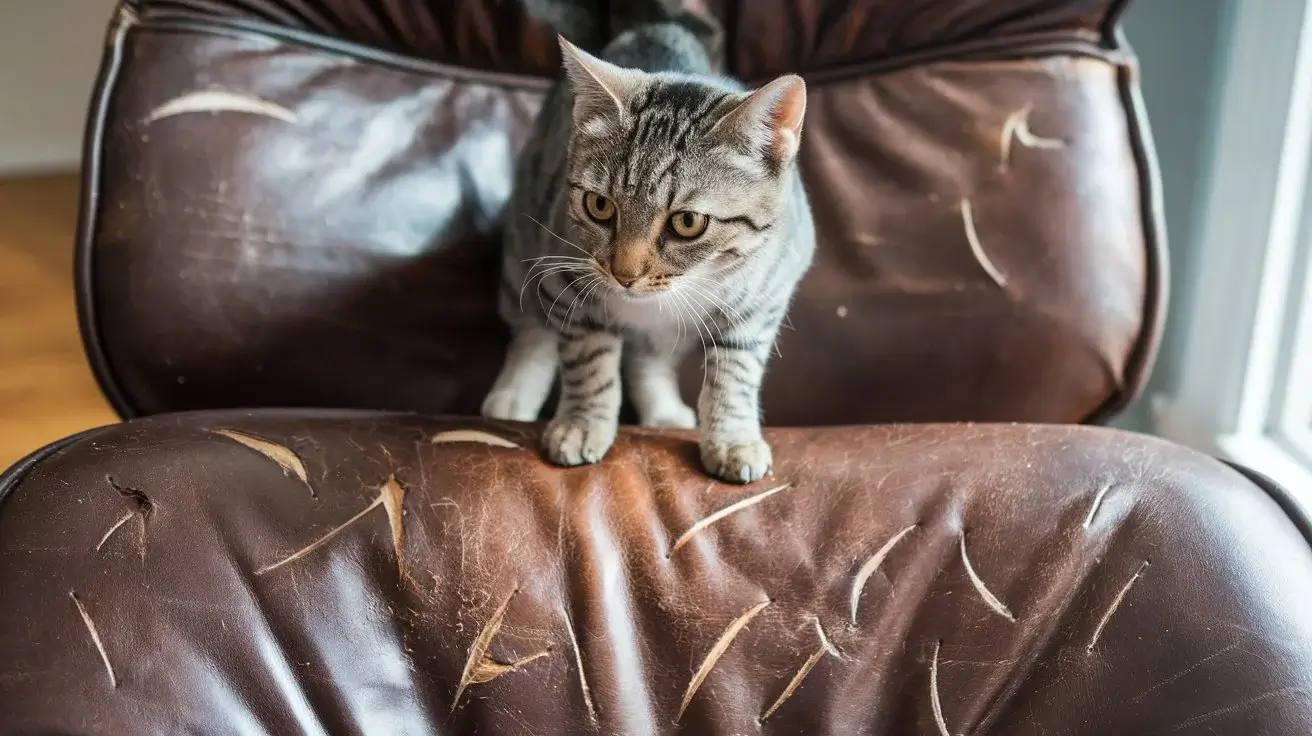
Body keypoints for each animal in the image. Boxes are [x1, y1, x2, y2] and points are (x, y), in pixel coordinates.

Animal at [482, 21, 808, 482]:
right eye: (599, 206)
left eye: (687, 222)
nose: (624, 273)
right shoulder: (570, 284)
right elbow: (588, 360)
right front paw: (583, 423)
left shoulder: (761, 302)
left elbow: (734, 375)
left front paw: (732, 439)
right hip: (524, 250)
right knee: (533, 330)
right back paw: (512, 396)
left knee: (648, 357)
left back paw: (664, 411)